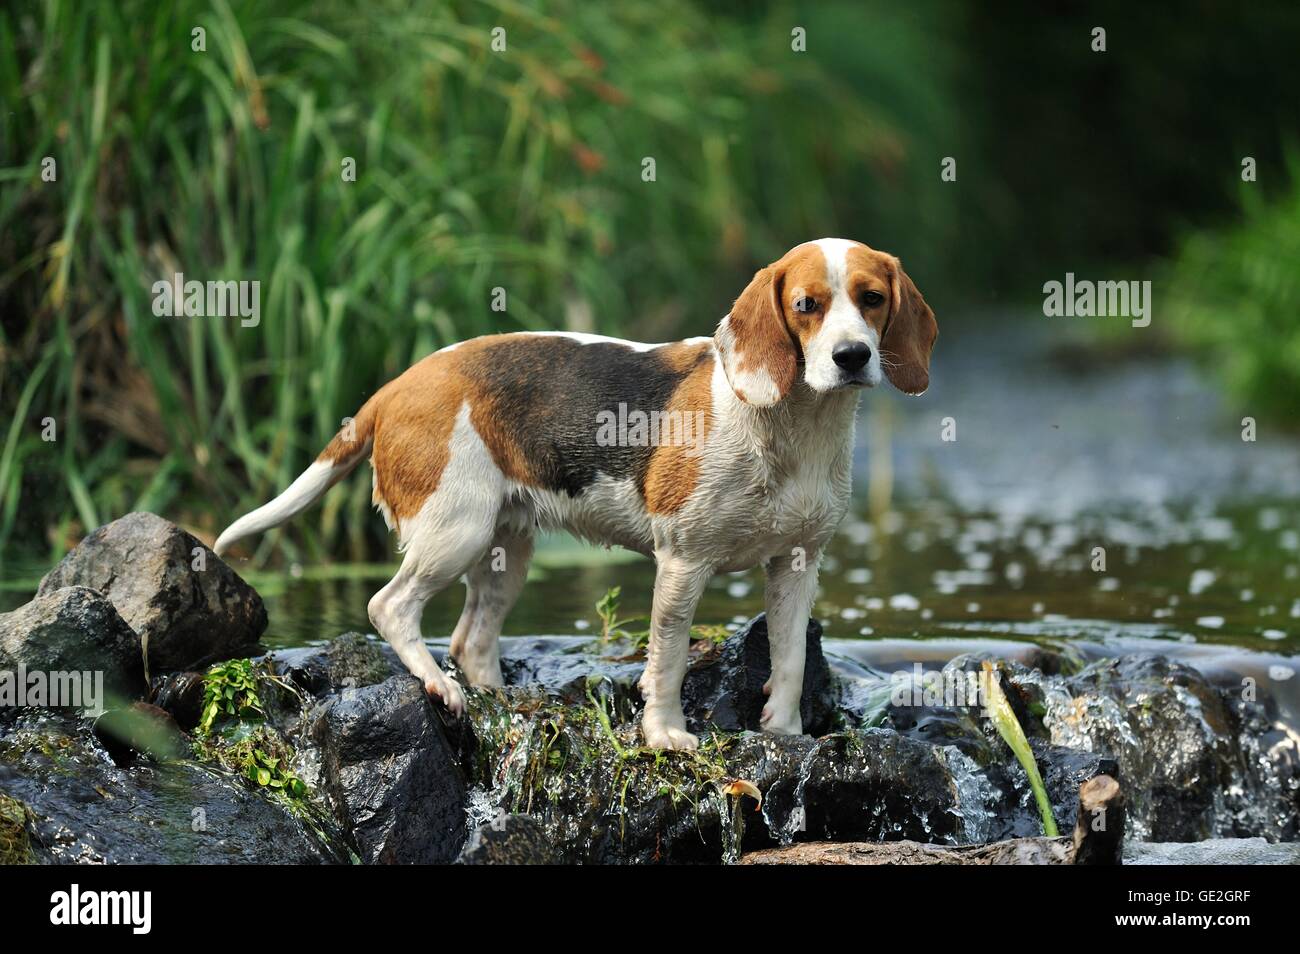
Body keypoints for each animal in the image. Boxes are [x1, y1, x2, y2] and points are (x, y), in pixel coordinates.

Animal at [218, 235, 941, 748]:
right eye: (805, 306)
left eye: (872, 299)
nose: (852, 356)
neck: (792, 423)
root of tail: (399, 384)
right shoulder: (683, 564)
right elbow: (668, 660)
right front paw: (666, 734)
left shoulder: (796, 565)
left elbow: (789, 659)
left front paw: (785, 734)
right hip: (454, 534)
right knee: (388, 607)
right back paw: (438, 688)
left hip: (506, 551)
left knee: (472, 638)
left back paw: (497, 700)